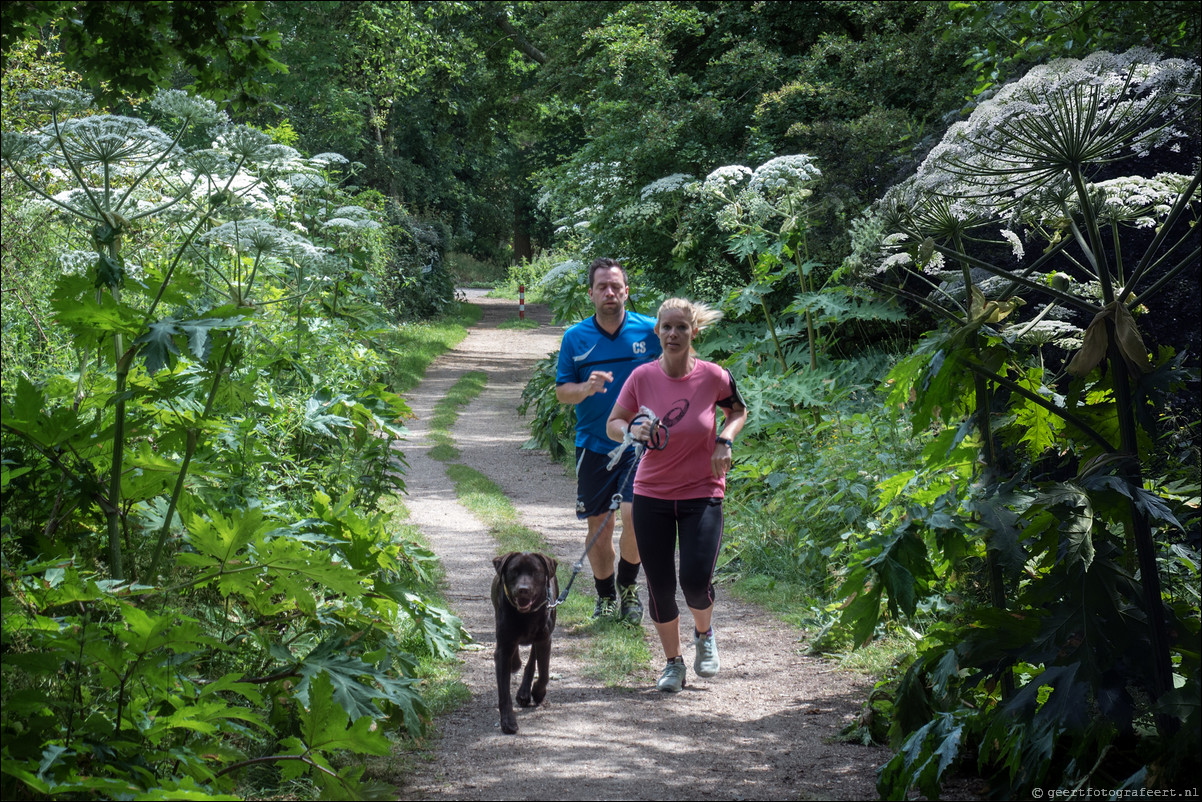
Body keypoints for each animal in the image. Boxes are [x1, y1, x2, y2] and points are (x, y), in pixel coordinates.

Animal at [488, 553, 557, 735]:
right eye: (514, 571)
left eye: (535, 571)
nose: (523, 589)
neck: (526, 615)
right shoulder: (503, 646)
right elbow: (504, 691)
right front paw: (508, 722)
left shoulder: (544, 639)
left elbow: (544, 672)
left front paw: (538, 692)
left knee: (532, 661)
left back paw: (525, 692)